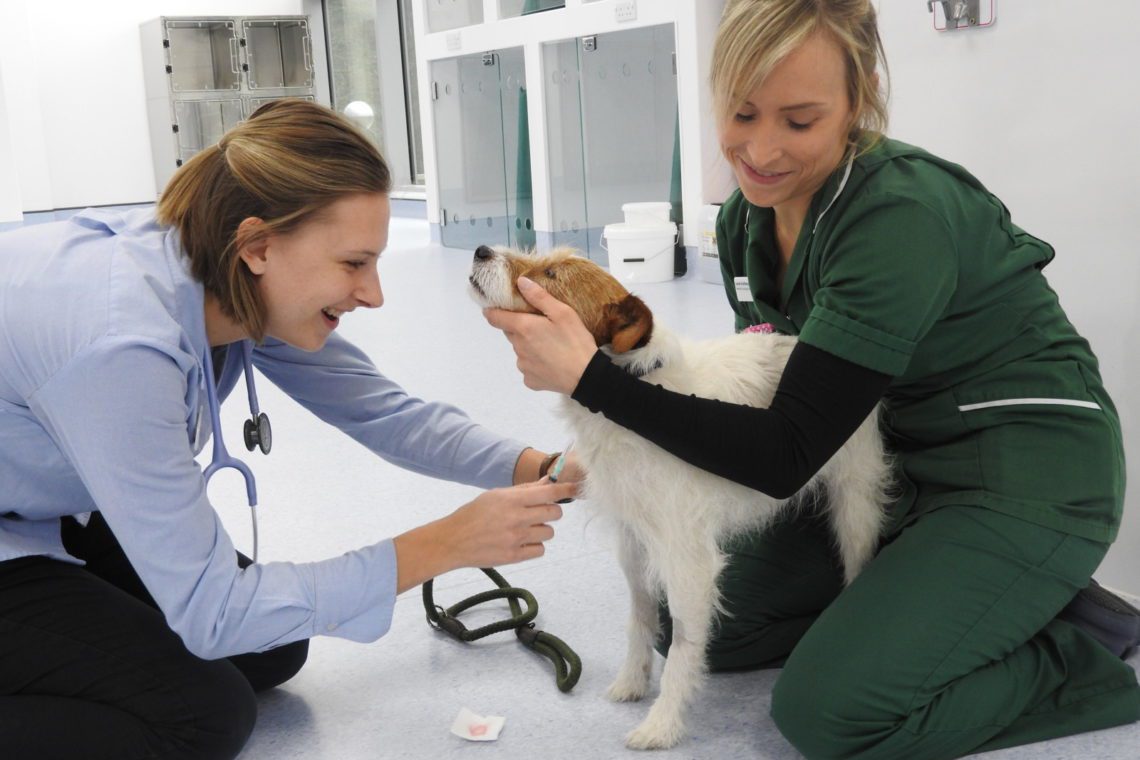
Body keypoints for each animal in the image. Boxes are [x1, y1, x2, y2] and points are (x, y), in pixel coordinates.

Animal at [469, 244, 889, 747]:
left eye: (550, 274)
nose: (481, 250)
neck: (634, 386)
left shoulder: (688, 559)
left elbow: (686, 642)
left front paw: (663, 723)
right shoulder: (633, 540)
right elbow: (640, 615)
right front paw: (633, 681)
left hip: (855, 503)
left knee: (857, 555)